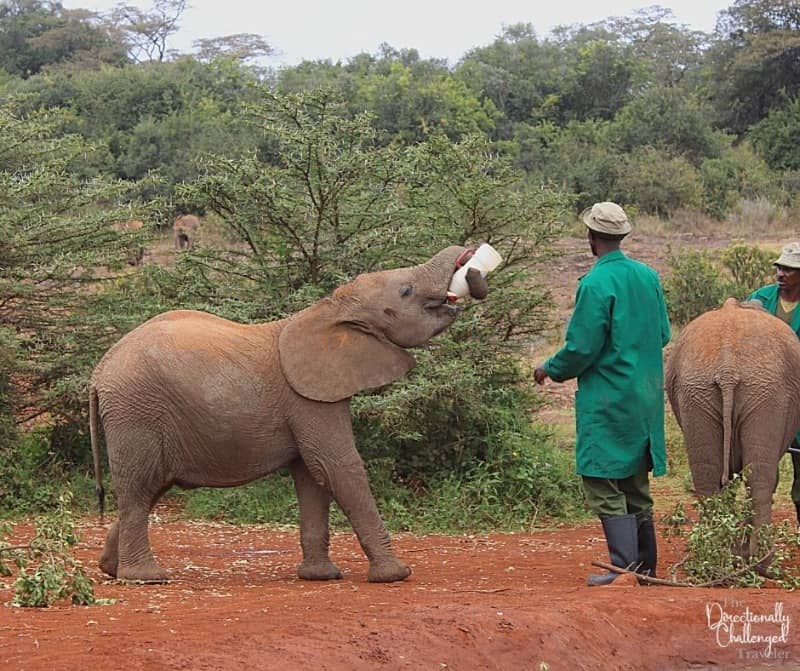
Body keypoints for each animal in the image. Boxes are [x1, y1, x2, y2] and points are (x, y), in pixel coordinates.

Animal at [89, 246, 491, 584]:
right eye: (406, 291)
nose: (471, 264)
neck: (331, 307)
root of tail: (99, 371)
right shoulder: (309, 399)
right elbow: (337, 466)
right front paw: (395, 575)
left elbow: (312, 478)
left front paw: (320, 576)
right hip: (136, 412)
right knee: (139, 489)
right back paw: (145, 578)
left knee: (150, 488)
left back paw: (111, 569)